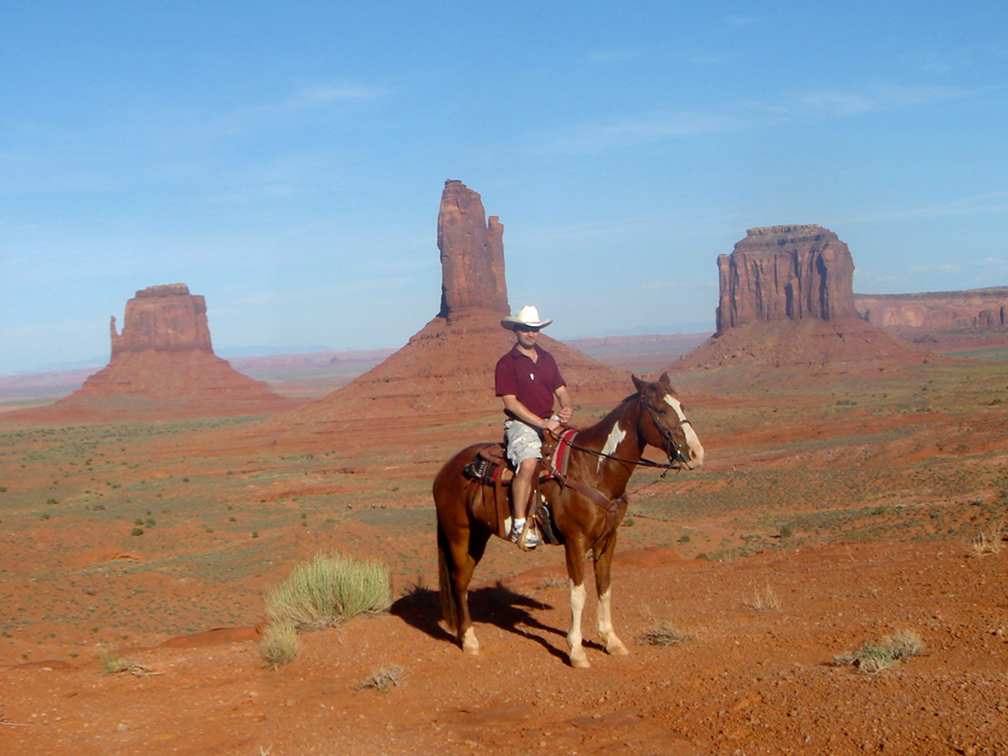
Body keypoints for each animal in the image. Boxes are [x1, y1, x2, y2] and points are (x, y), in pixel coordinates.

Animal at [431, 372, 701, 669]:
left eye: (682, 406)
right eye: (661, 410)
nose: (696, 454)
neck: (594, 468)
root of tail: (445, 471)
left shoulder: (608, 540)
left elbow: (604, 587)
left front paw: (611, 641)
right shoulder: (575, 541)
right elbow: (578, 595)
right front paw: (577, 651)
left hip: (478, 536)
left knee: (464, 581)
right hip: (459, 534)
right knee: (459, 582)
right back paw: (470, 640)